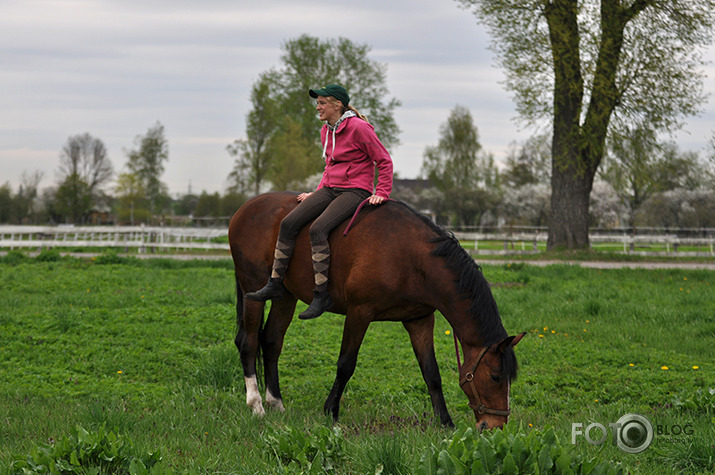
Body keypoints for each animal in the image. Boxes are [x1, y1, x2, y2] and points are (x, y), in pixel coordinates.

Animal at [229, 192, 524, 430]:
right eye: (496, 377)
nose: (496, 426)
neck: (414, 258)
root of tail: (244, 208)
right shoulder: (359, 313)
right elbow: (346, 364)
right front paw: (330, 411)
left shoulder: (419, 319)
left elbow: (431, 372)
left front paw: (445, 422)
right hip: (253, 288)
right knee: (249, 342)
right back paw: (256, 404)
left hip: (284, 296)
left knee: (271, 341)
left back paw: (276, 402)